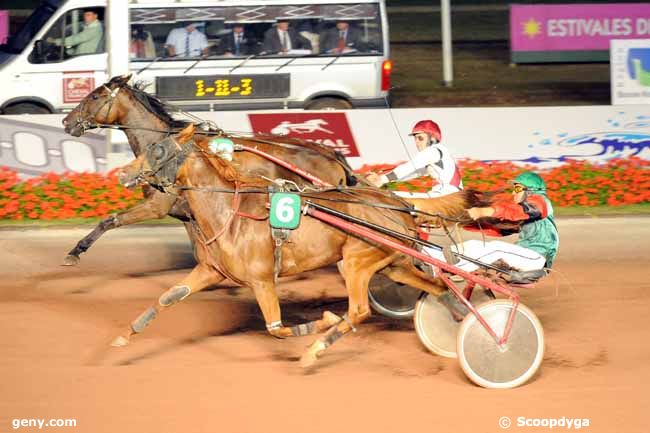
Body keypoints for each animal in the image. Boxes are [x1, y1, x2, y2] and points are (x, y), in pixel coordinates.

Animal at [116, 124, 450, 364]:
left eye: (158, 150)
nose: (122, 173)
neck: (230, 210)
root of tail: (399, 205)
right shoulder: (211, 271)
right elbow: (168, 297)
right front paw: (123, 337)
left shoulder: (262, 280)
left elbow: (277, 329)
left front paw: (323, 321)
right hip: (392, 264)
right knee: (438, 288)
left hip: (357, 262)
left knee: (357, 311)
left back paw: (315, 350)